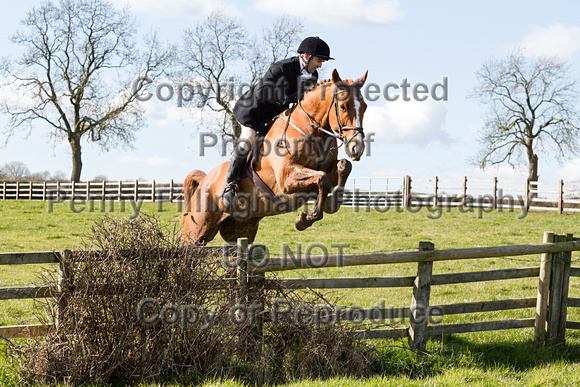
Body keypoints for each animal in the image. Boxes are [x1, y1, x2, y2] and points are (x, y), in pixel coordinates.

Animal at [181, 69, 370, 246]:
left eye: (365, 107)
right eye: (343, 106)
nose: (357, 148)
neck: (311, 130)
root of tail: (205, 179)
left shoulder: (324, 169)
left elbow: (343, 166)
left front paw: (331, 204)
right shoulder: (286, 179)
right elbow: (322, 179)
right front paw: (304, 219)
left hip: (240, 231)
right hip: (196, 233)